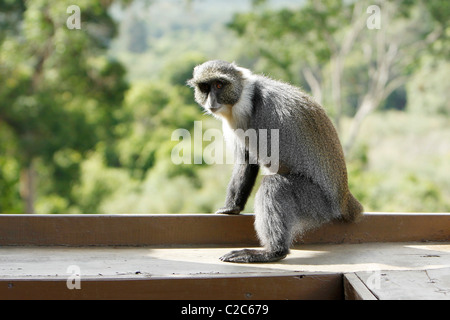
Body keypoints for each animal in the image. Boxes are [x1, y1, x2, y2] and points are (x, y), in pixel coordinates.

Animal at [188, 60, 364, 262]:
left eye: (219, 85)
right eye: (204, 87)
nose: (211, 102)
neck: (246, 98)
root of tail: (344, 200)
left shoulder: (264, 117)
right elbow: (246, 162)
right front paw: (231, 207)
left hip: (318, 204)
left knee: (275, 185)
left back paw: (273, 251)